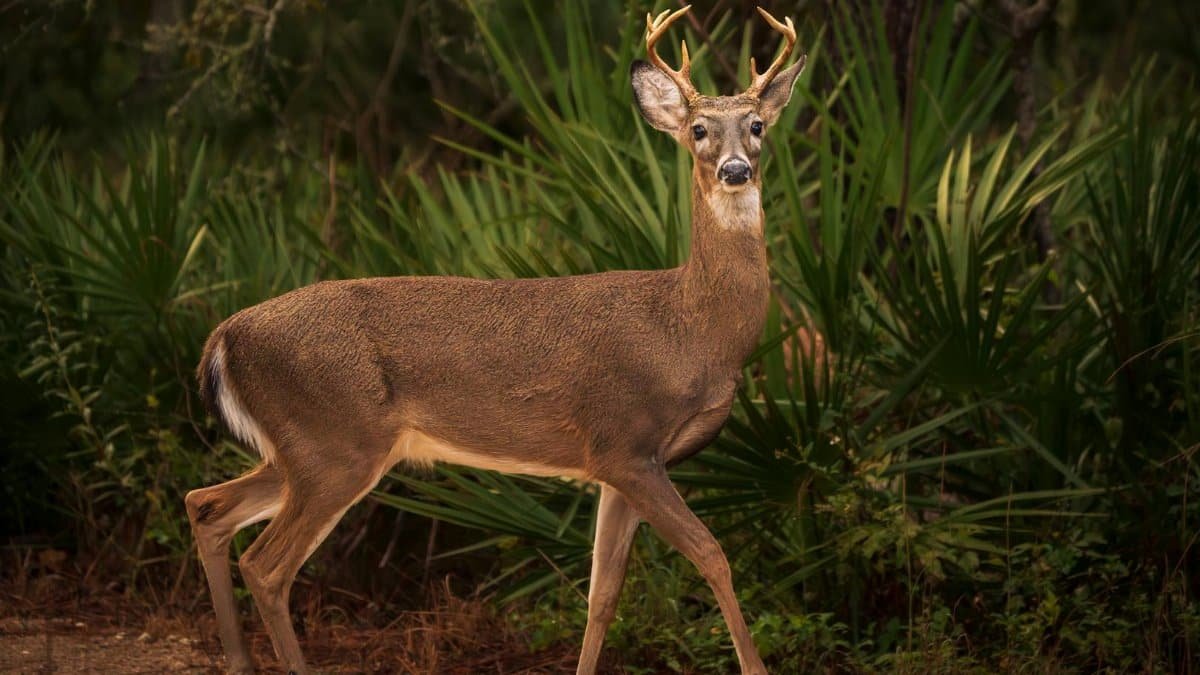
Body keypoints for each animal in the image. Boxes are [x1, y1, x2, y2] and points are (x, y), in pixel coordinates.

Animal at [184, 6, 805, 674]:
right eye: (698, 129)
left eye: (757, 125)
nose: (736, 169)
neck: (692, 329)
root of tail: (222, 337)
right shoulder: (626, 442)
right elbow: (712, 555)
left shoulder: (619, 463)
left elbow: (602, 594)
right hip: (333, 442)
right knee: (267, 566)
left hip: (304, 449)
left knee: (207, 506)